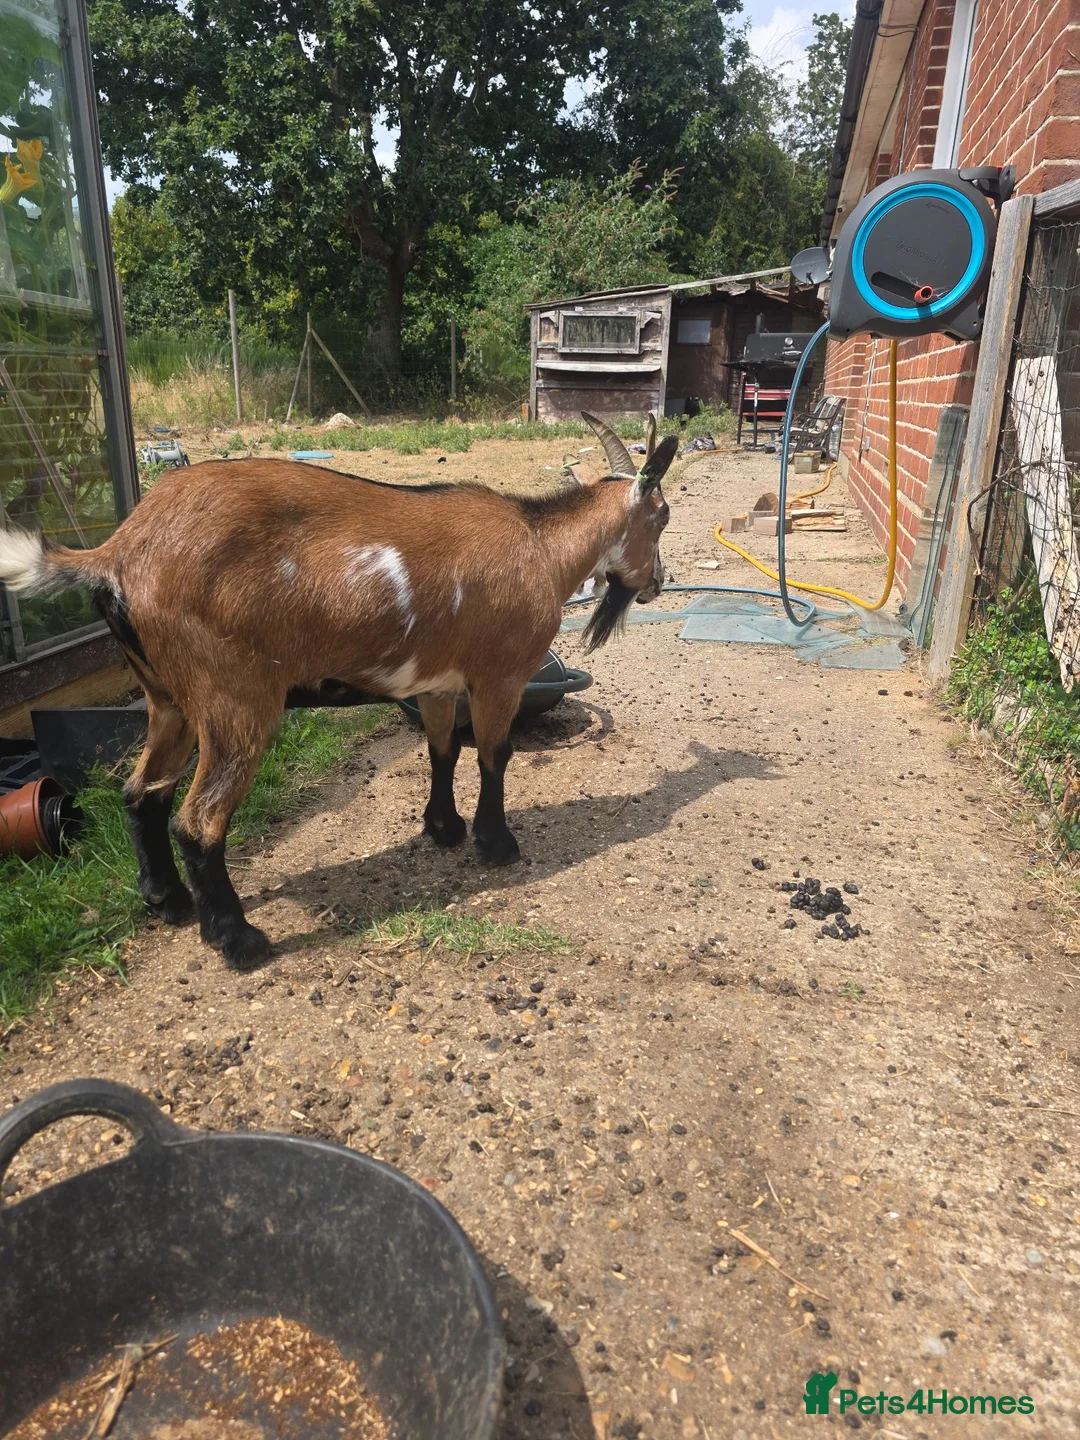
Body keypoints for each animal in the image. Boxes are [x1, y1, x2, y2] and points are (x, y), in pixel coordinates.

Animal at [0, 424, 675, 970]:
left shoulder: (435, 682)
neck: (541, 546)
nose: (657, 583)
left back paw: (169, 903)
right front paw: (497, 844)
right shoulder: (500, 675)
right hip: (233, 697)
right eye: (663, 515)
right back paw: (239, 941)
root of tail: (115, 552)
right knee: (199, 820)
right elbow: (492, 756)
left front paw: (444, 829)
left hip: (168, 698)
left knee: (142, 792)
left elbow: (443, 751)